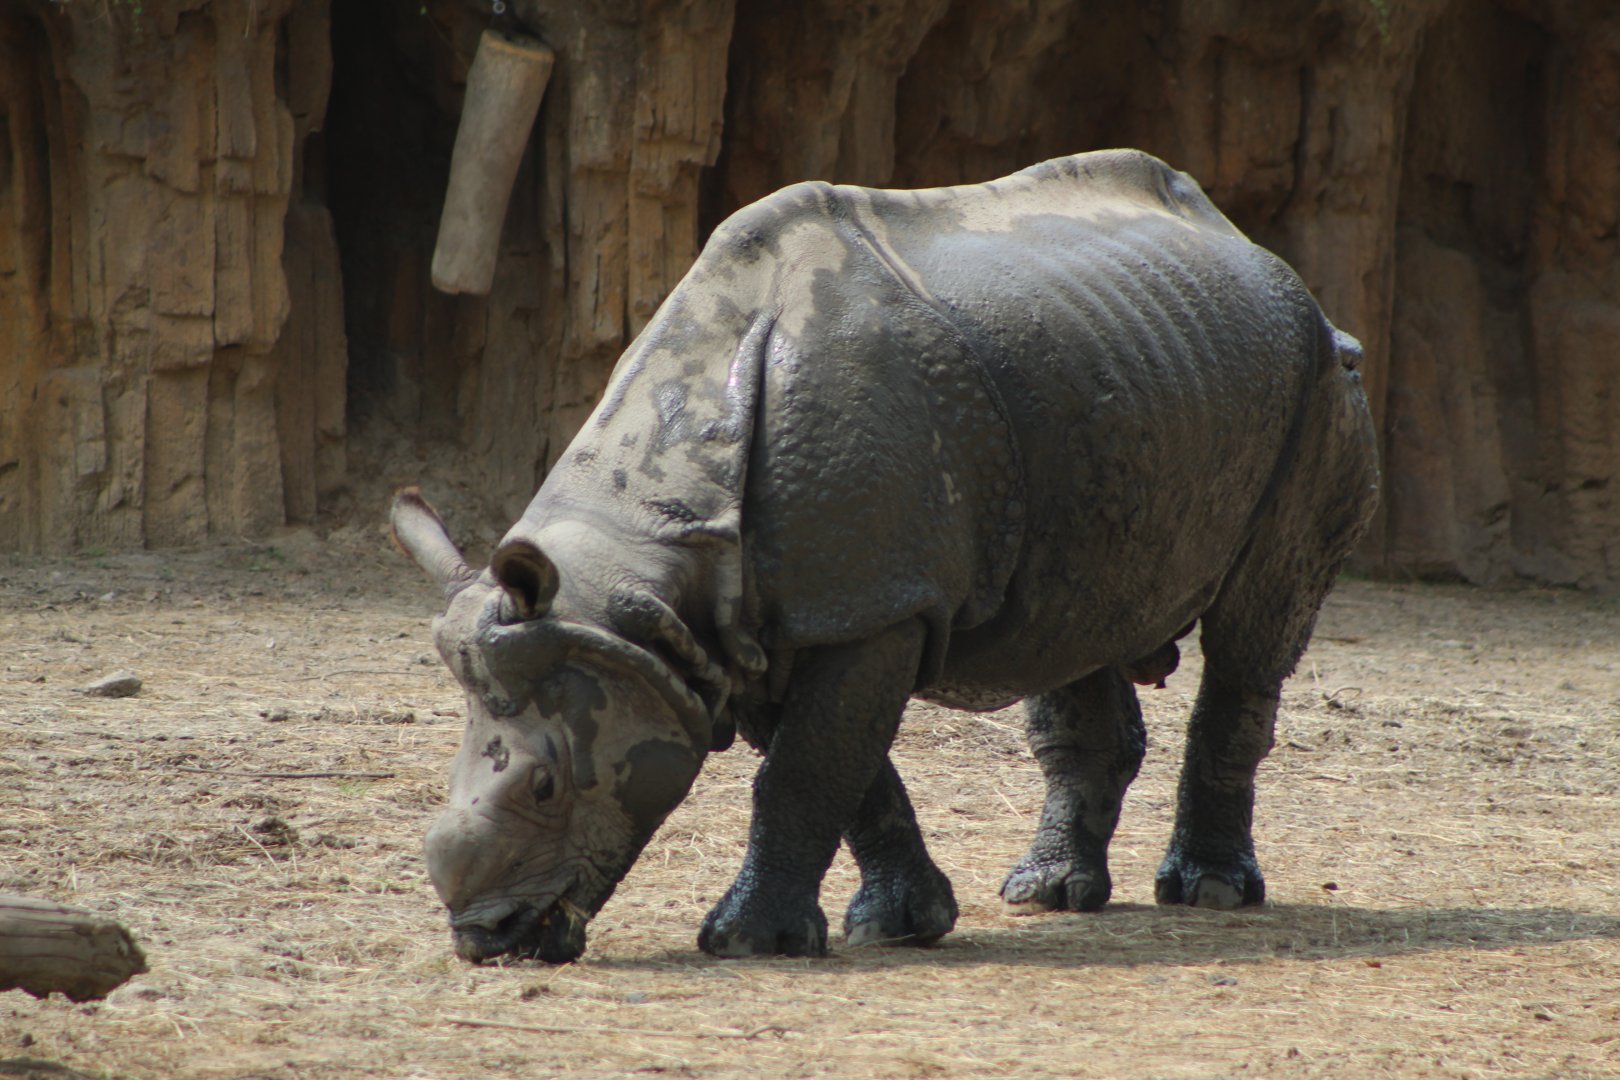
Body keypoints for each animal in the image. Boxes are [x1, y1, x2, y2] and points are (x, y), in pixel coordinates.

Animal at [391, 149, 1379, 964]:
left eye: (547, 786)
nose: (487, 940)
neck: (645, 563)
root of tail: (1254, 249)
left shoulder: (866, 606)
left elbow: (805, 771)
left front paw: (748, 944)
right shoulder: (749, 627)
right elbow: (849, 772)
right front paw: (903, 926)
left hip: (1317, 381)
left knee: (1252, 630)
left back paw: (1207, 893)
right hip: (1119, 377)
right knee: (1074, 620)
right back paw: (1048, 896)